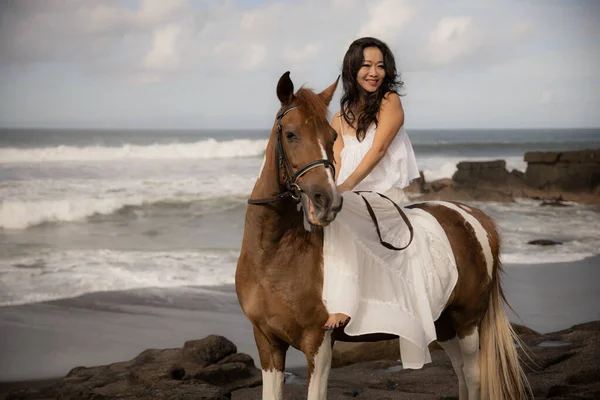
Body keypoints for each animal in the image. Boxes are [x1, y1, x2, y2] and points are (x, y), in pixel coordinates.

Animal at [234, 72, 528, 400]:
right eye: (291, 134)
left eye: (331, 138)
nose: (327, 201)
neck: (277, 254)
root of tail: (473, 216)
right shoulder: (266, 341)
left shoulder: (318, 342)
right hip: (443, 324)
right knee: (461, 374)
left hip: (467, 322)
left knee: (474, 377)